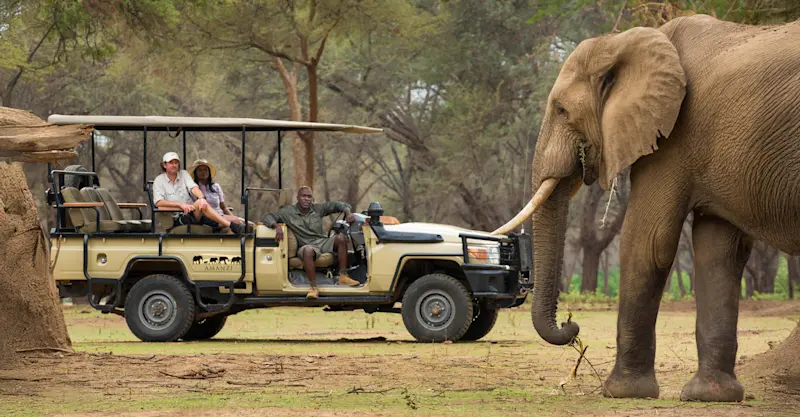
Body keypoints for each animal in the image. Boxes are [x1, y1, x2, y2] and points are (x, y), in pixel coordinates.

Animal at [492, 14, 800, 402]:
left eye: (561, 109)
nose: (571, 324)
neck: (623, 41)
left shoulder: (675, 135)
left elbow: (647, 241)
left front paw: (620, 392)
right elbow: (719, 251)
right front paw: (710, 396)